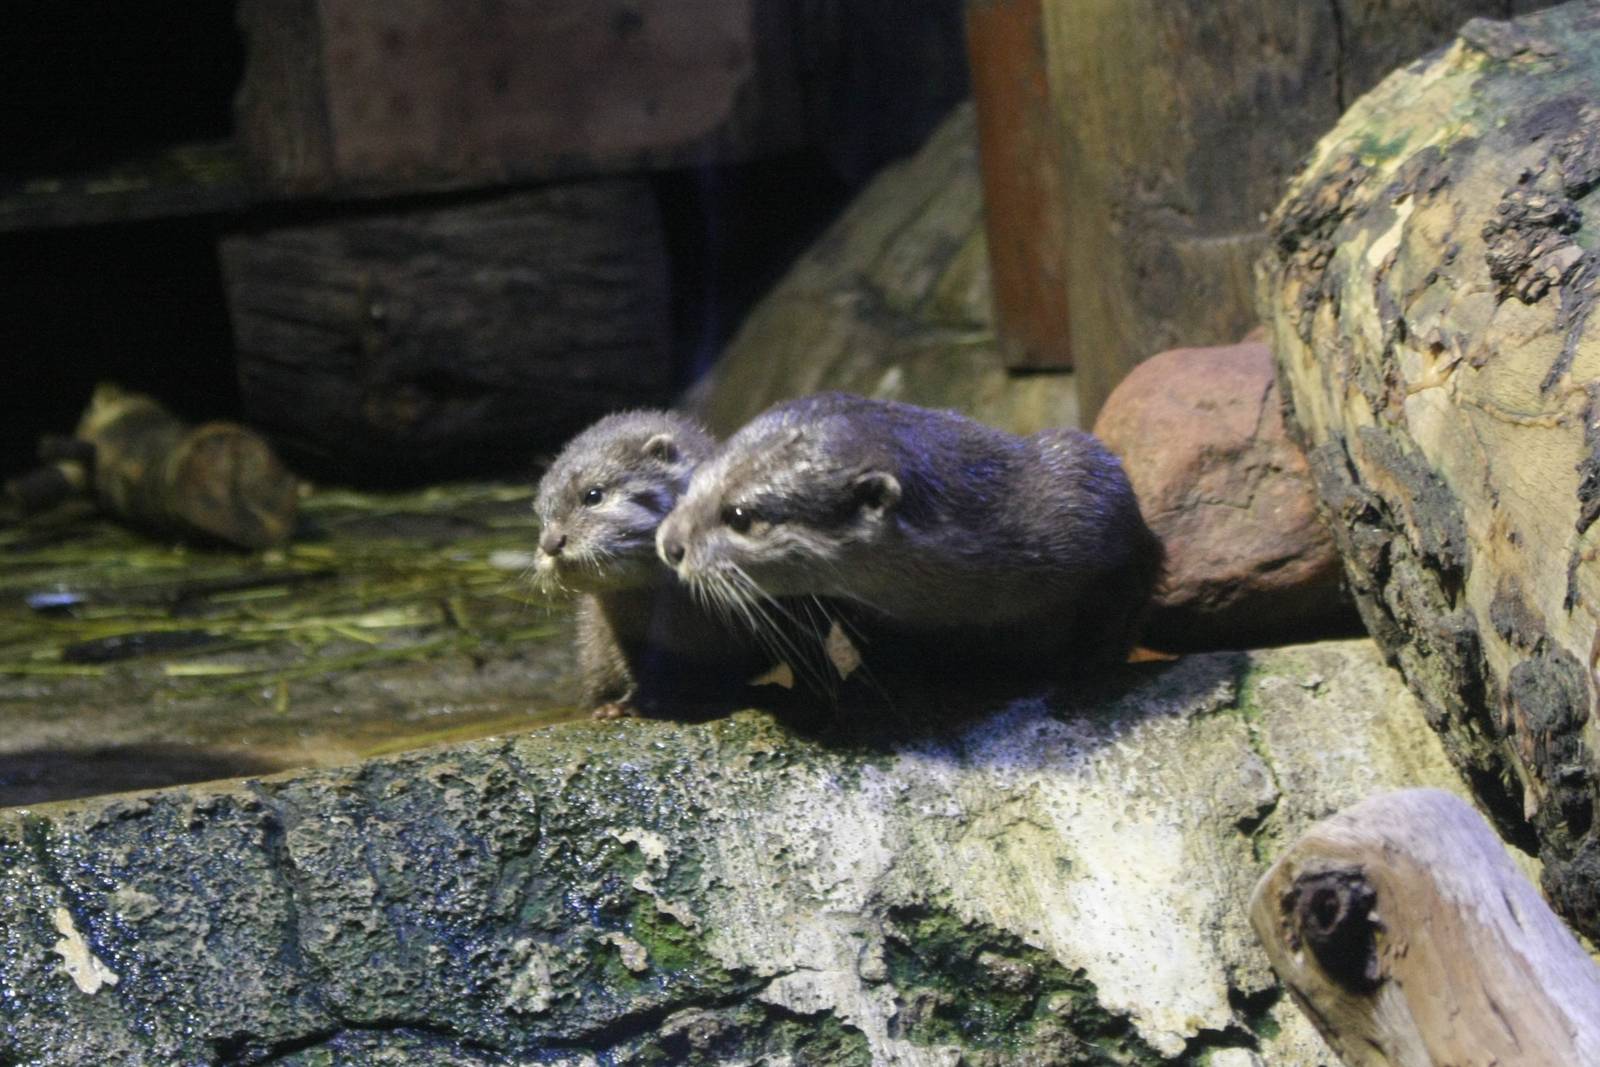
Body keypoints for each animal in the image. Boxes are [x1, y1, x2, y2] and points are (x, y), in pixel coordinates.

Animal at [655, 393, 1164, 675]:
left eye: (739, 515)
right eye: (695, 483)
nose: (669, 544)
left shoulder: (1093, 491)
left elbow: (1132, 589)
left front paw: (1091, 662)